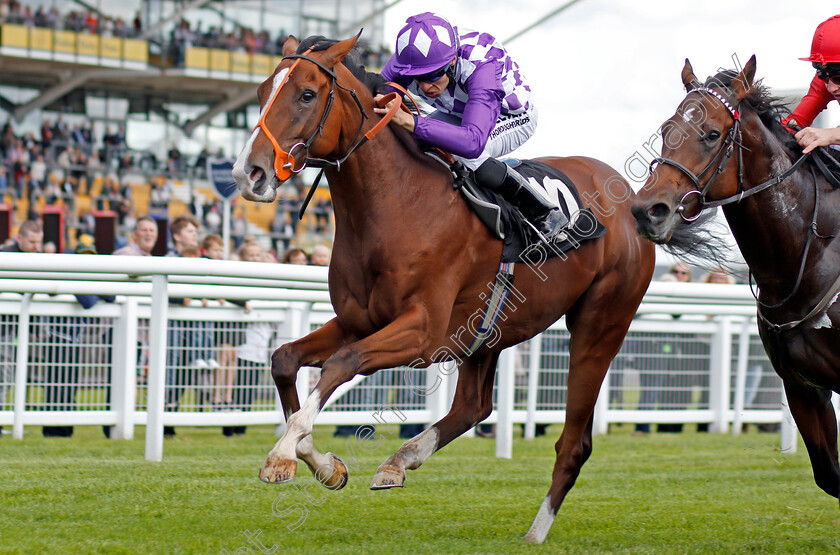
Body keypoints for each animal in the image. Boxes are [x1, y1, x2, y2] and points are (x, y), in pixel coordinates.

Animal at [231, 33, 656, 544]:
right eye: (260, 92)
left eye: (307, 95)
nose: (248, 173)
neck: (399, 203)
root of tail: (629, 196)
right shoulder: (359, 320)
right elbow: (284, 359)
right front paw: (324, 465)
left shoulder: (423, 333)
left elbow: (341, 363)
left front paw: (282, 455)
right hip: (489, 330)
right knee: (474, 406)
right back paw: (399, 461)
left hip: (599, 326)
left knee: (574, 441)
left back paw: (535, 532)